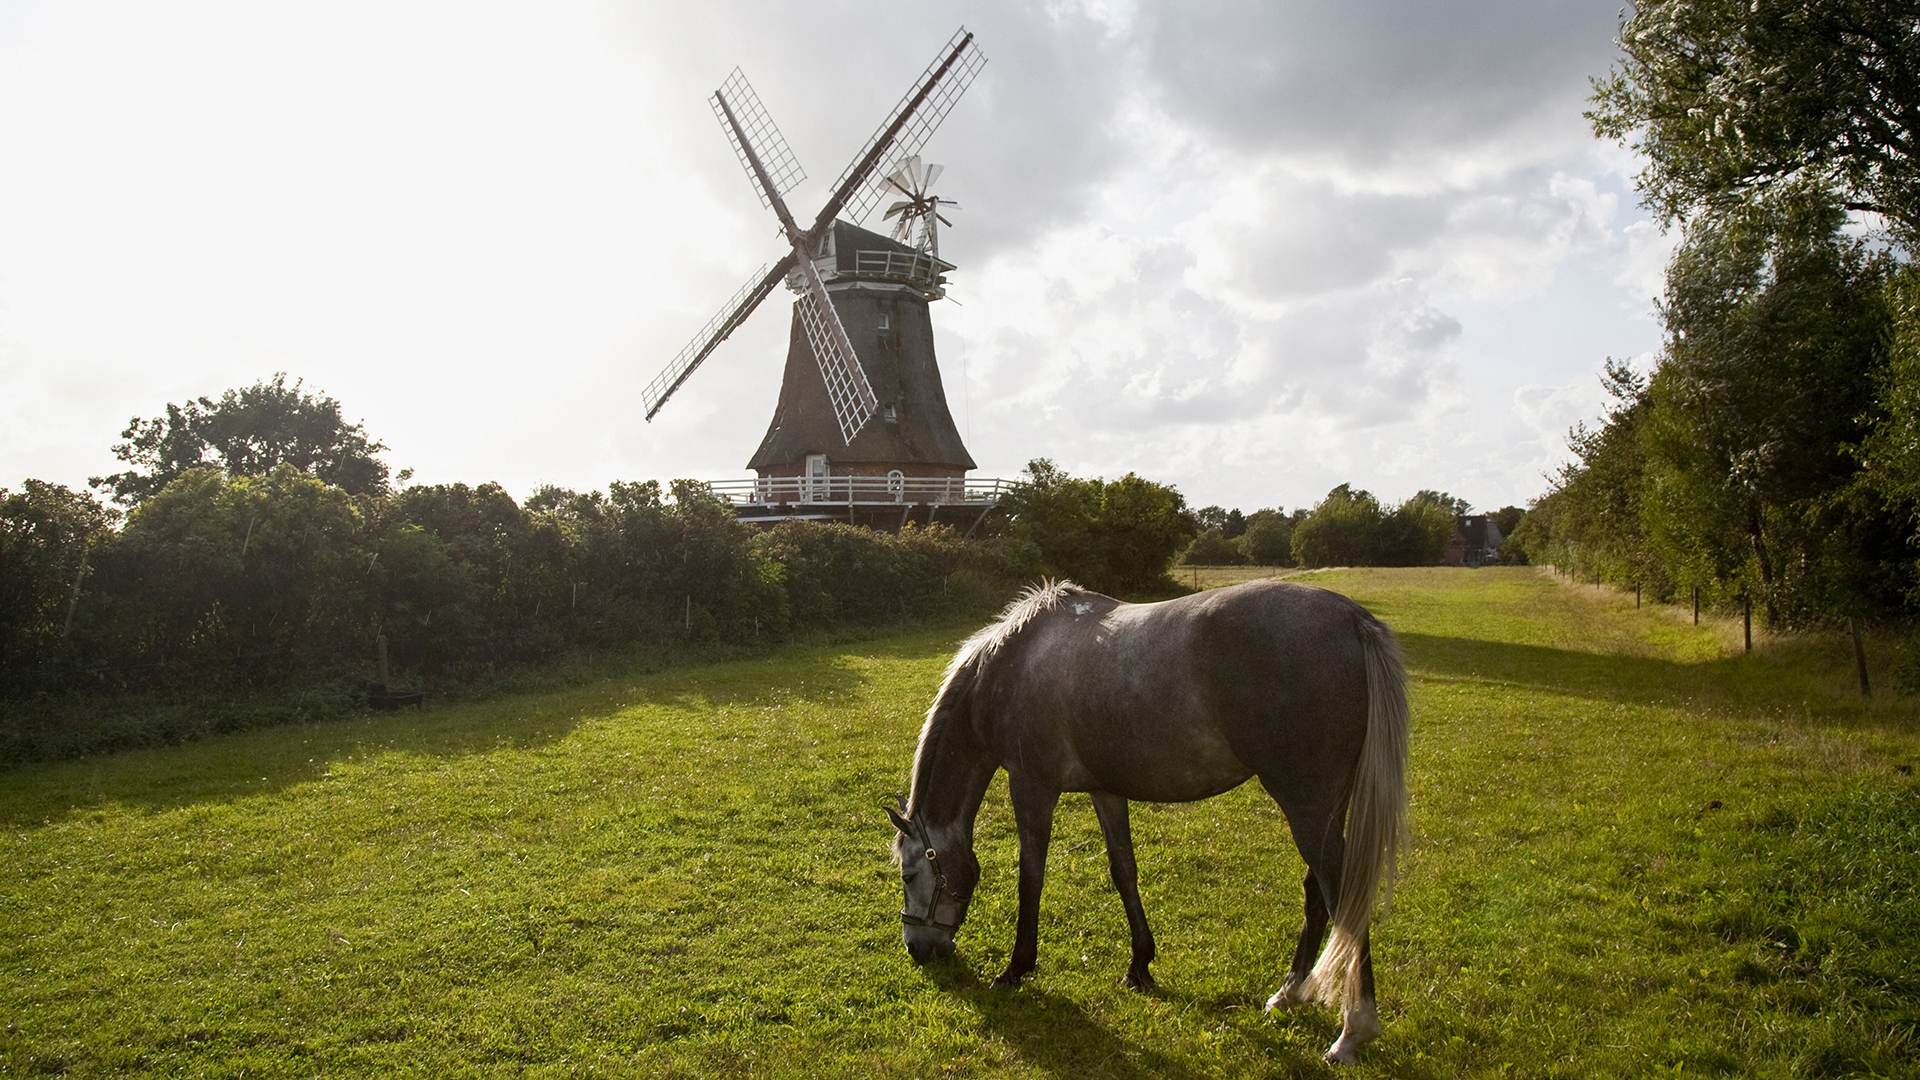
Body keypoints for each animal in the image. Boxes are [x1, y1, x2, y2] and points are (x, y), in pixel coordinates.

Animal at [883, 576, 1413, 1060]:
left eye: (909, 874)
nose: (918, 950)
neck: (1010, 668)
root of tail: (1351, 618)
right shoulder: (1106, 791)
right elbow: (1124, 871)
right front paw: (1140, 964)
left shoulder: (1032, 789)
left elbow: (1030, 879)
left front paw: (1017, 968)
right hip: (1326, 806)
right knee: (1317, 893)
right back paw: (1288, 994)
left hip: (1306, 805)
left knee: (1341, 893)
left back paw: (1353, 1030)